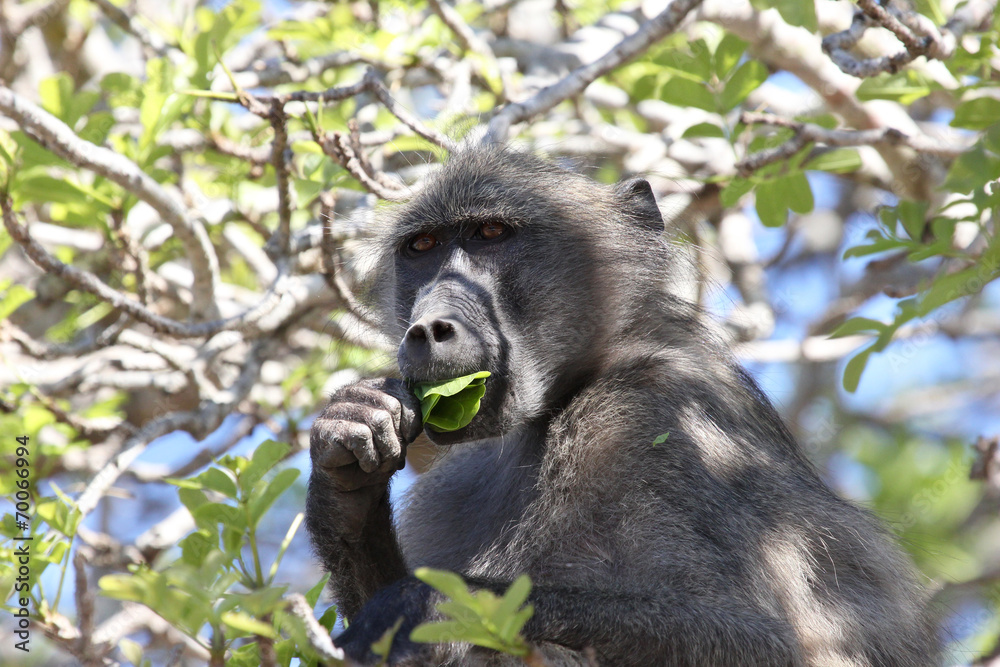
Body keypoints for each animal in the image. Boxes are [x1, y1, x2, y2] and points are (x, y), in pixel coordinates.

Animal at [305, 146, 939, 666]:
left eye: (490, 232)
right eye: (423, 247)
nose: (429, 328)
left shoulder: (657, 421)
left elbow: (776, 646)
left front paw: (432, 606)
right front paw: (349, 461)